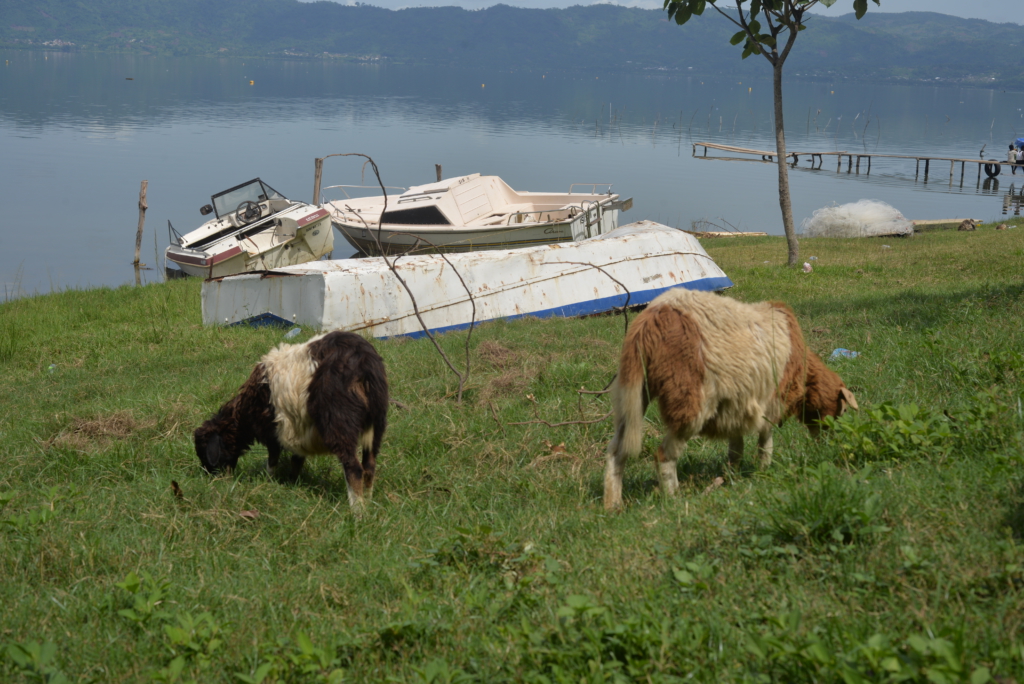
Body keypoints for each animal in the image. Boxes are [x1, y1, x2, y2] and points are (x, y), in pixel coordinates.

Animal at [192, 327, 387, 509]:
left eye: (204, 451)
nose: (212, 479)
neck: (244, 415)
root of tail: (363, 362)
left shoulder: (273, 430)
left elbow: (273, 459)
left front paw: (269, 481)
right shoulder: (297, 429)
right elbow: (296, 459)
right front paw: (293, 482)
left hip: (339, 419)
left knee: (354, 468)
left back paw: (357, 510)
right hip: (376, 423)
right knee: (369, 465)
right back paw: (369, 502)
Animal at [606, 286, 856, 507]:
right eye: (842, 409)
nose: (827, 445)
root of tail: (652, 317)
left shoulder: (737, 405)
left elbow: (736, 447)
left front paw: (732, 475)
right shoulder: (771, 401)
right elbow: (765, 442)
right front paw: (764, 470)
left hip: (634, 392)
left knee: (616, 449)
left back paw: (613, 504)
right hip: (691, 399)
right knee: (663, 455)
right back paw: (673, 498)